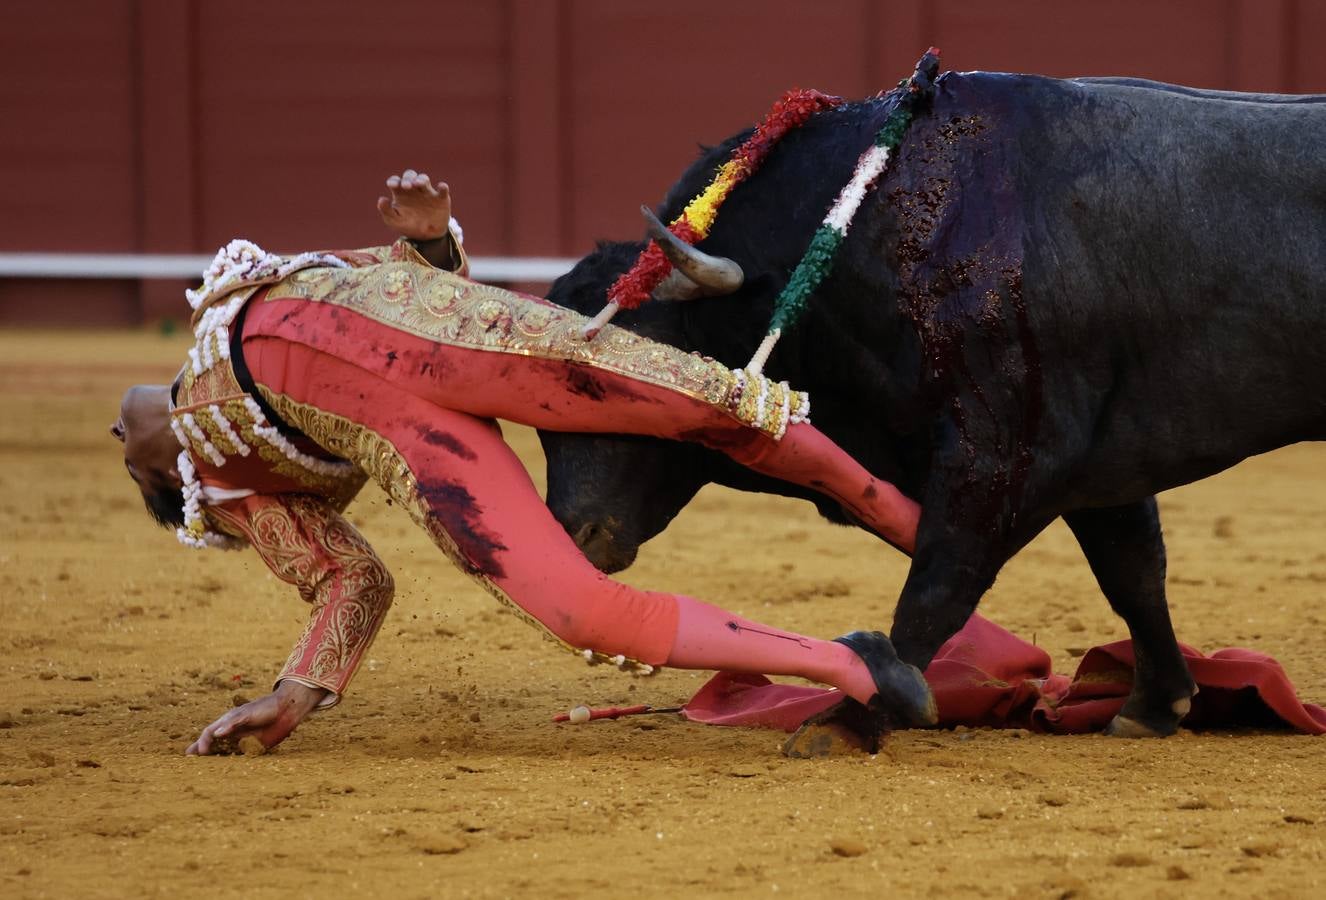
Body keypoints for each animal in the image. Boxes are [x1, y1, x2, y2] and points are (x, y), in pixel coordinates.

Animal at [535, 68, 1326, 736]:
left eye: (619, 383)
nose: (572, 533)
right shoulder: (1103, 461)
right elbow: (1132, 570)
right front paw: (1155, 704)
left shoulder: (1007, 451)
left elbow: (941, 579)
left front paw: (854, 712)